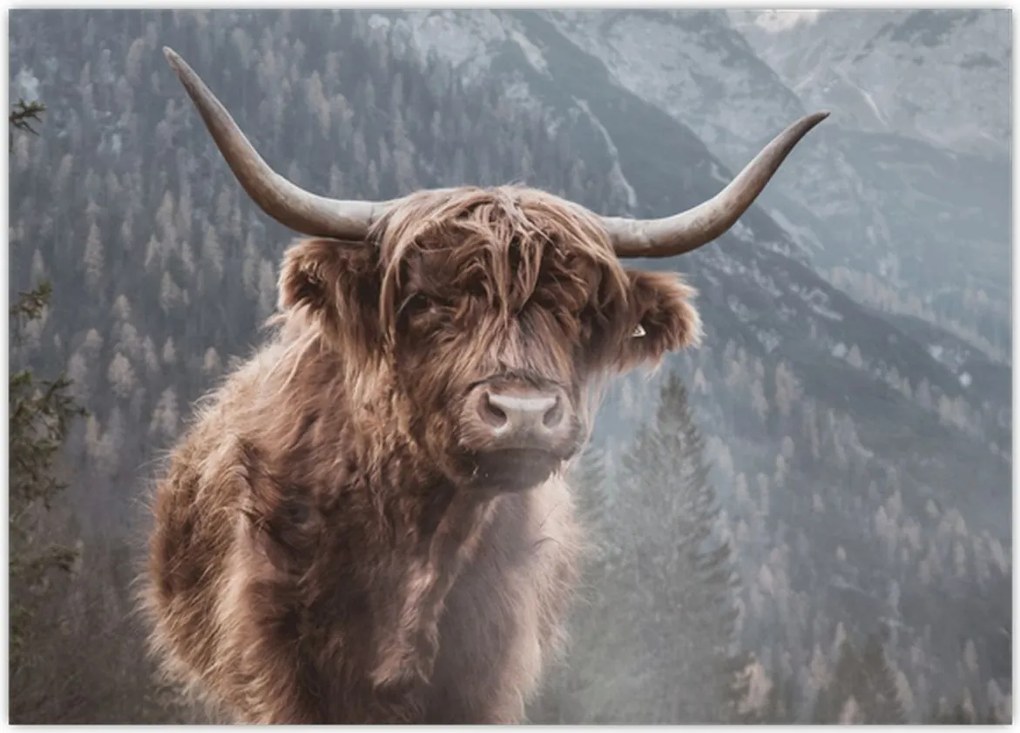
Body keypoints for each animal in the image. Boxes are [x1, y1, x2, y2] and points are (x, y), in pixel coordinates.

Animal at [142, 47, 825, 724]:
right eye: (425, 301)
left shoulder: (486, 672)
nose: (523, 412)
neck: (419, 535)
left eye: (579, 311)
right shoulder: (281, 667)